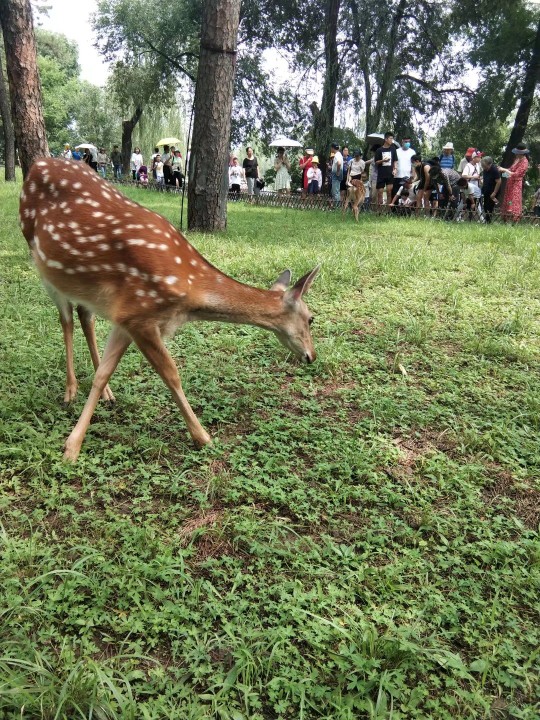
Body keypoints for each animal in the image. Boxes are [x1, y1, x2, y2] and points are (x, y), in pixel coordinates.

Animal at [19, 158, 318, 462]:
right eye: (311, 319)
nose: (312, 356)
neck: (189, 292)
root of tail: (38, 164)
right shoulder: (139, 315)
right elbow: (171, 374)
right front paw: (203, 437)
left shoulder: (126, 317)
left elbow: (103, 374)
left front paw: (76, 437)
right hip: (40, 261)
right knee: (65, 318)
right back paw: (69, 391)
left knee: (84, 316)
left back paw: (106, 395)